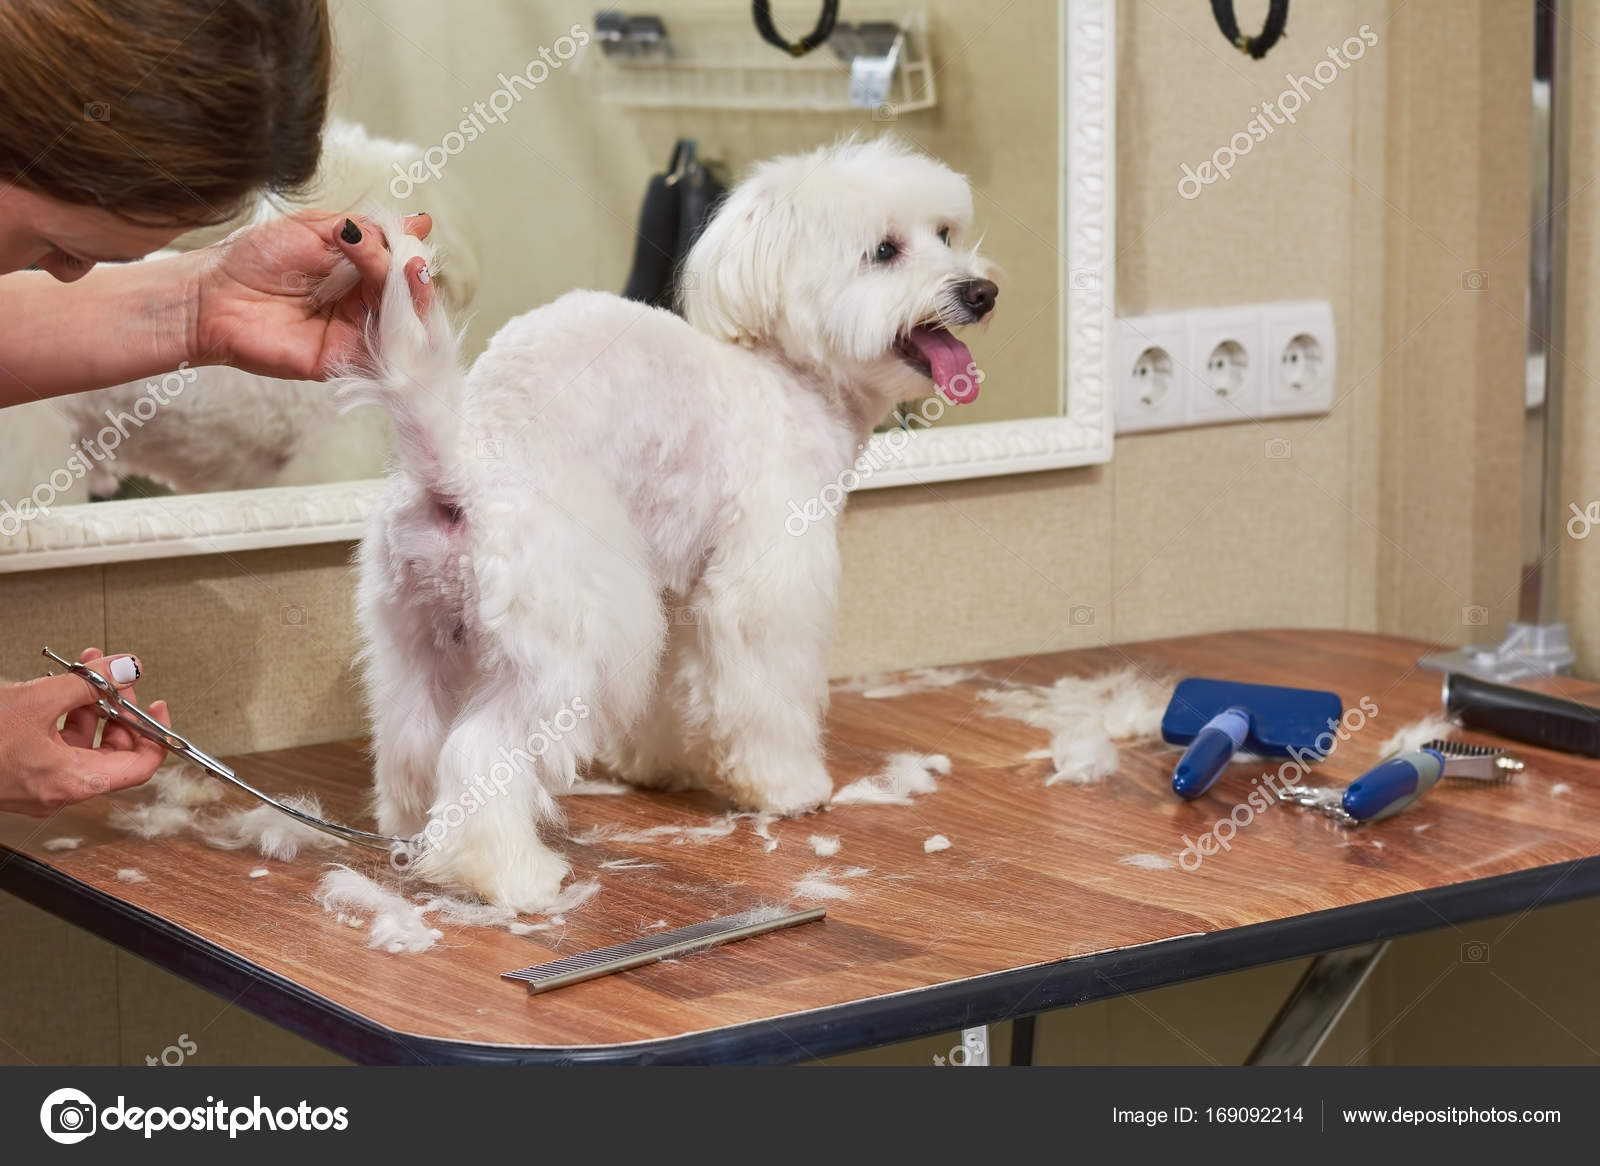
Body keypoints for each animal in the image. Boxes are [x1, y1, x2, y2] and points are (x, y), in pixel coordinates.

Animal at [348, 136, 992, 908]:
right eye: (885, 251)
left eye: (947, 233)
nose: (980, 292)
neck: (787, 378)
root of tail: (459, 466)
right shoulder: (764, 582)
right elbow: (764, 688)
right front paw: (786, 786)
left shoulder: (676, 581)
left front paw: (652, 765)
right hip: (570, 644)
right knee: (482, 752)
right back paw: (507, 873)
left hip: (415, 633)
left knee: (412, 736)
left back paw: (413, 831)